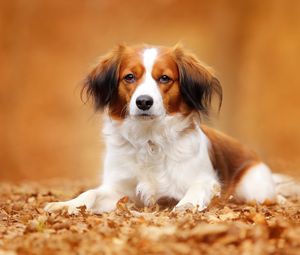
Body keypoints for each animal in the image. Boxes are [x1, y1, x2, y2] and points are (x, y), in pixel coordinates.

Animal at [44, 44, 278, 214]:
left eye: (164, 78)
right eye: (129, 77)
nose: (143, 102)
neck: (149, 139)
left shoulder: (204, 180)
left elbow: (197, 188)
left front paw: (187, 205)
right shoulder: (119, 190)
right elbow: (90, 194)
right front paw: (66, 204)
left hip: (253, 188)